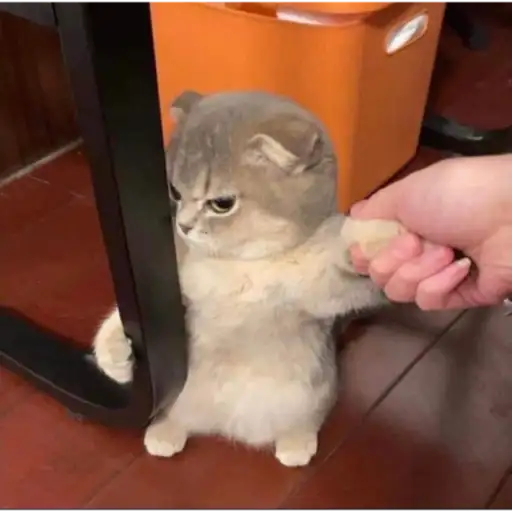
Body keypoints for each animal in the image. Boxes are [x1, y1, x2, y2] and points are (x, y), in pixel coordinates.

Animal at [92, 90, 404, 467]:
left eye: (221, 203)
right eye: (174, 192)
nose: (183, 225)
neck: (240, 265)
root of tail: (228, 424)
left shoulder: (318, 286)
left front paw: (379, 234)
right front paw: (115, 350)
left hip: (310, 394)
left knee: (311, 415)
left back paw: (296, 440)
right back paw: (165, 431)